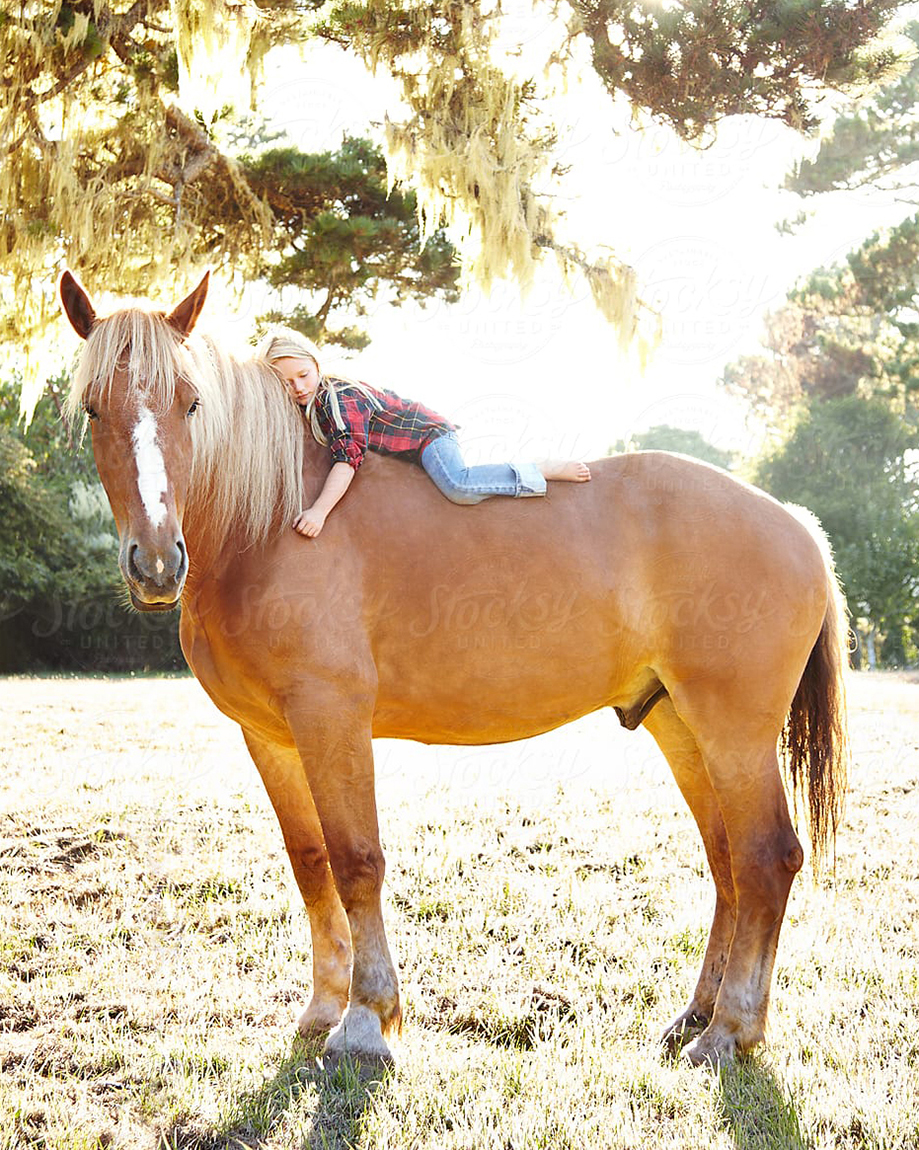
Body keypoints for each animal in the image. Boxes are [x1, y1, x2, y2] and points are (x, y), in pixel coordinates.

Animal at [57, 271, 846, 1067]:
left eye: (190, 402)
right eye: (94, 408)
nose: (157, 563)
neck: (272, 522)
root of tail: (797, 525)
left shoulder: (331, 719)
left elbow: (356, 860)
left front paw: (366, 1021)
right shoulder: (270, 736)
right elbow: (311, 863)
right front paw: (322, 1008)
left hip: (733, 732)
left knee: (766, 858)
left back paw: (729, 1031)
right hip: (679, 725)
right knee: (728, 862)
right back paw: (697, 1015)